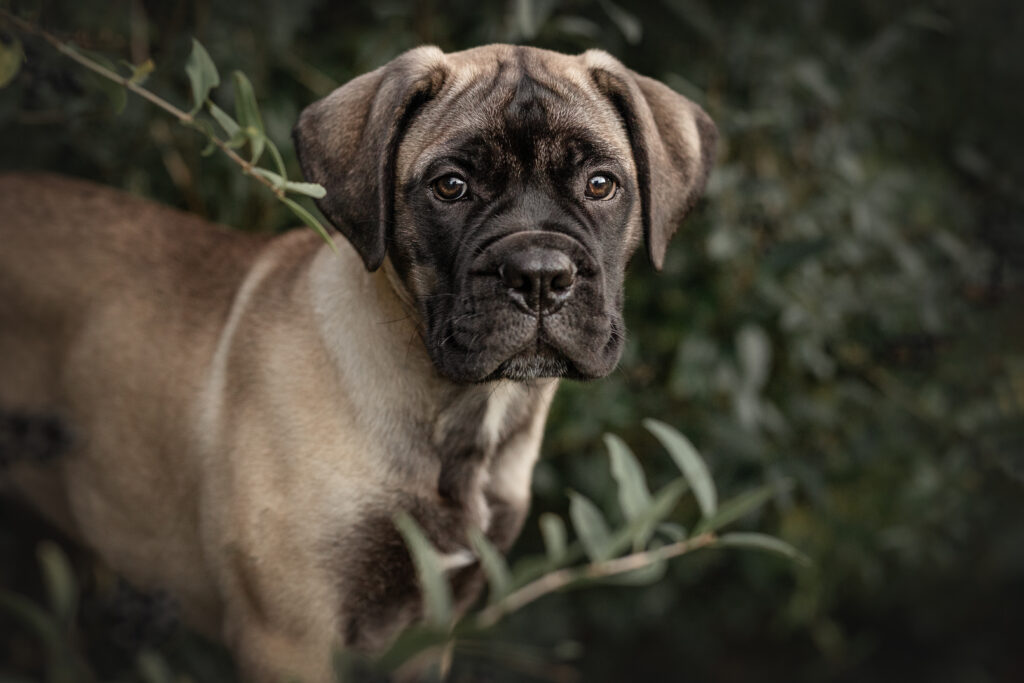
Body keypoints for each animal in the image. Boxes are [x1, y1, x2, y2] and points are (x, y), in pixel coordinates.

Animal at [0, 45, 716, 679]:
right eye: (450, 187)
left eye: (601, 184)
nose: (539, 275)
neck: (457, 418)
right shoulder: (292, 639)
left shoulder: (428, 631)